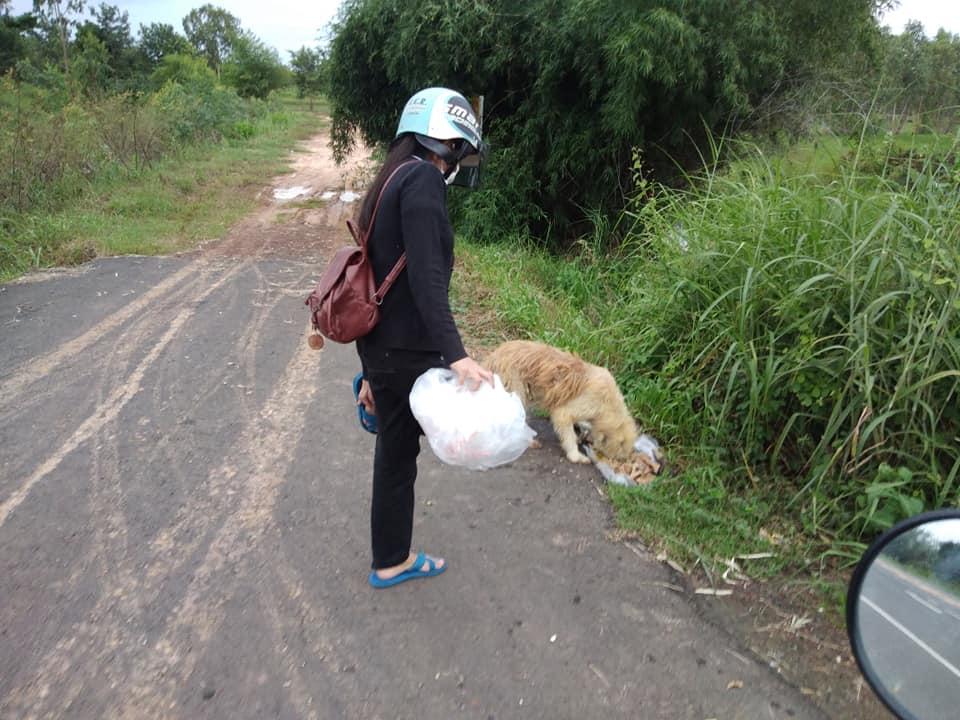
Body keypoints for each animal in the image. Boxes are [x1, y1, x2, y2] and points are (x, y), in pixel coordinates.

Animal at [488, 340, 636, 464]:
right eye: (621, 448)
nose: (624, 460)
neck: (610, 405)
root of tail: (494, 356)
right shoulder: (581, 406)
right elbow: (567, 428)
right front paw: (576, 455)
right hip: (514, 388)